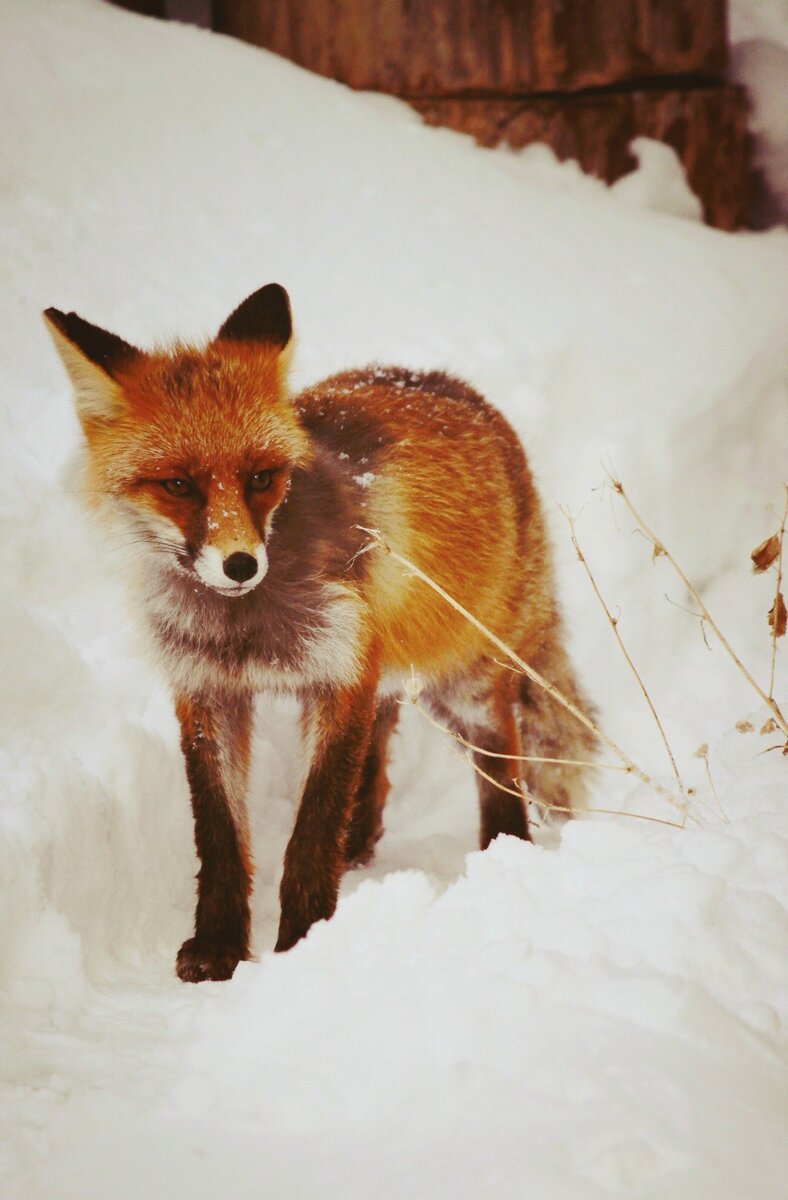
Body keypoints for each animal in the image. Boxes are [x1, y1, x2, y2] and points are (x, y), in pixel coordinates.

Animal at [43, 285, 592, 979]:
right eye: (178, 485)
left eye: (260, 477)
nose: (240, 564)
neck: (244, 626)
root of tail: (442, 380)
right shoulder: (208, 691)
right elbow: (220, 837)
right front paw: (218, 946)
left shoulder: (338, 675)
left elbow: (310, 830)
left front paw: (303, 942)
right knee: (382, 733)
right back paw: (361, 837)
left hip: (462, 678)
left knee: (500, 756)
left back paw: (501, 856)